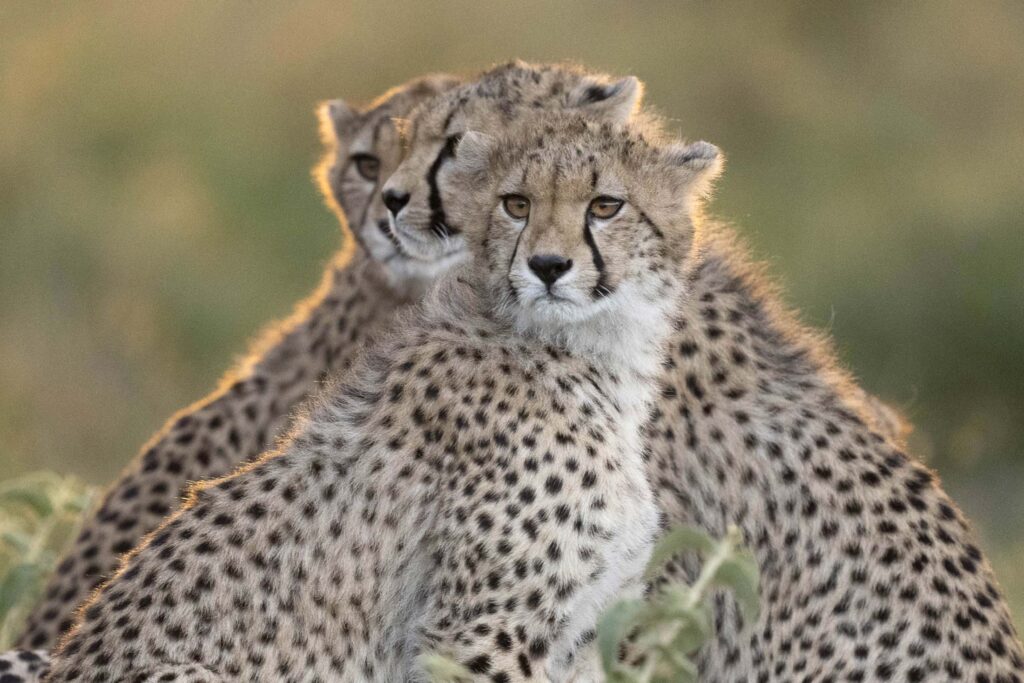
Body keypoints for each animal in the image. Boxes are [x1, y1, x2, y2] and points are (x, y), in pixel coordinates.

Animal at [45, 114, 723, 682]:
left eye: (606, 205)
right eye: (517, 203)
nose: (548, 265)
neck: (589, 354)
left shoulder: (580, 633)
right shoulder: (477, 634)